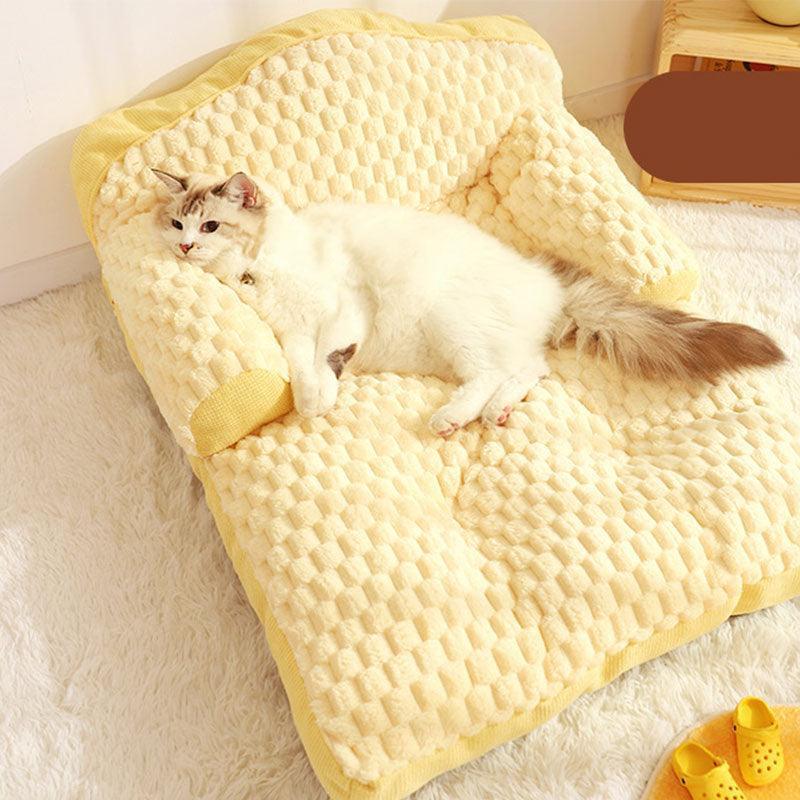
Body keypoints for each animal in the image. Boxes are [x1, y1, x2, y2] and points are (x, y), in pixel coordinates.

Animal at [153, 169, 784, 438]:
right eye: (177, 223)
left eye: (210, 224)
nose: (184, 246)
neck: (258, 268)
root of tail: (546, 281)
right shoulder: (290, 330)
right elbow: (300, 366)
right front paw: (312, 399)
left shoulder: (342, 306)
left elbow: (328, 355)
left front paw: (322, 394)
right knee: (527, 369)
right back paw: (494, 413)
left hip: (449, 316)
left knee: (494, 373)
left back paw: (453, 418)